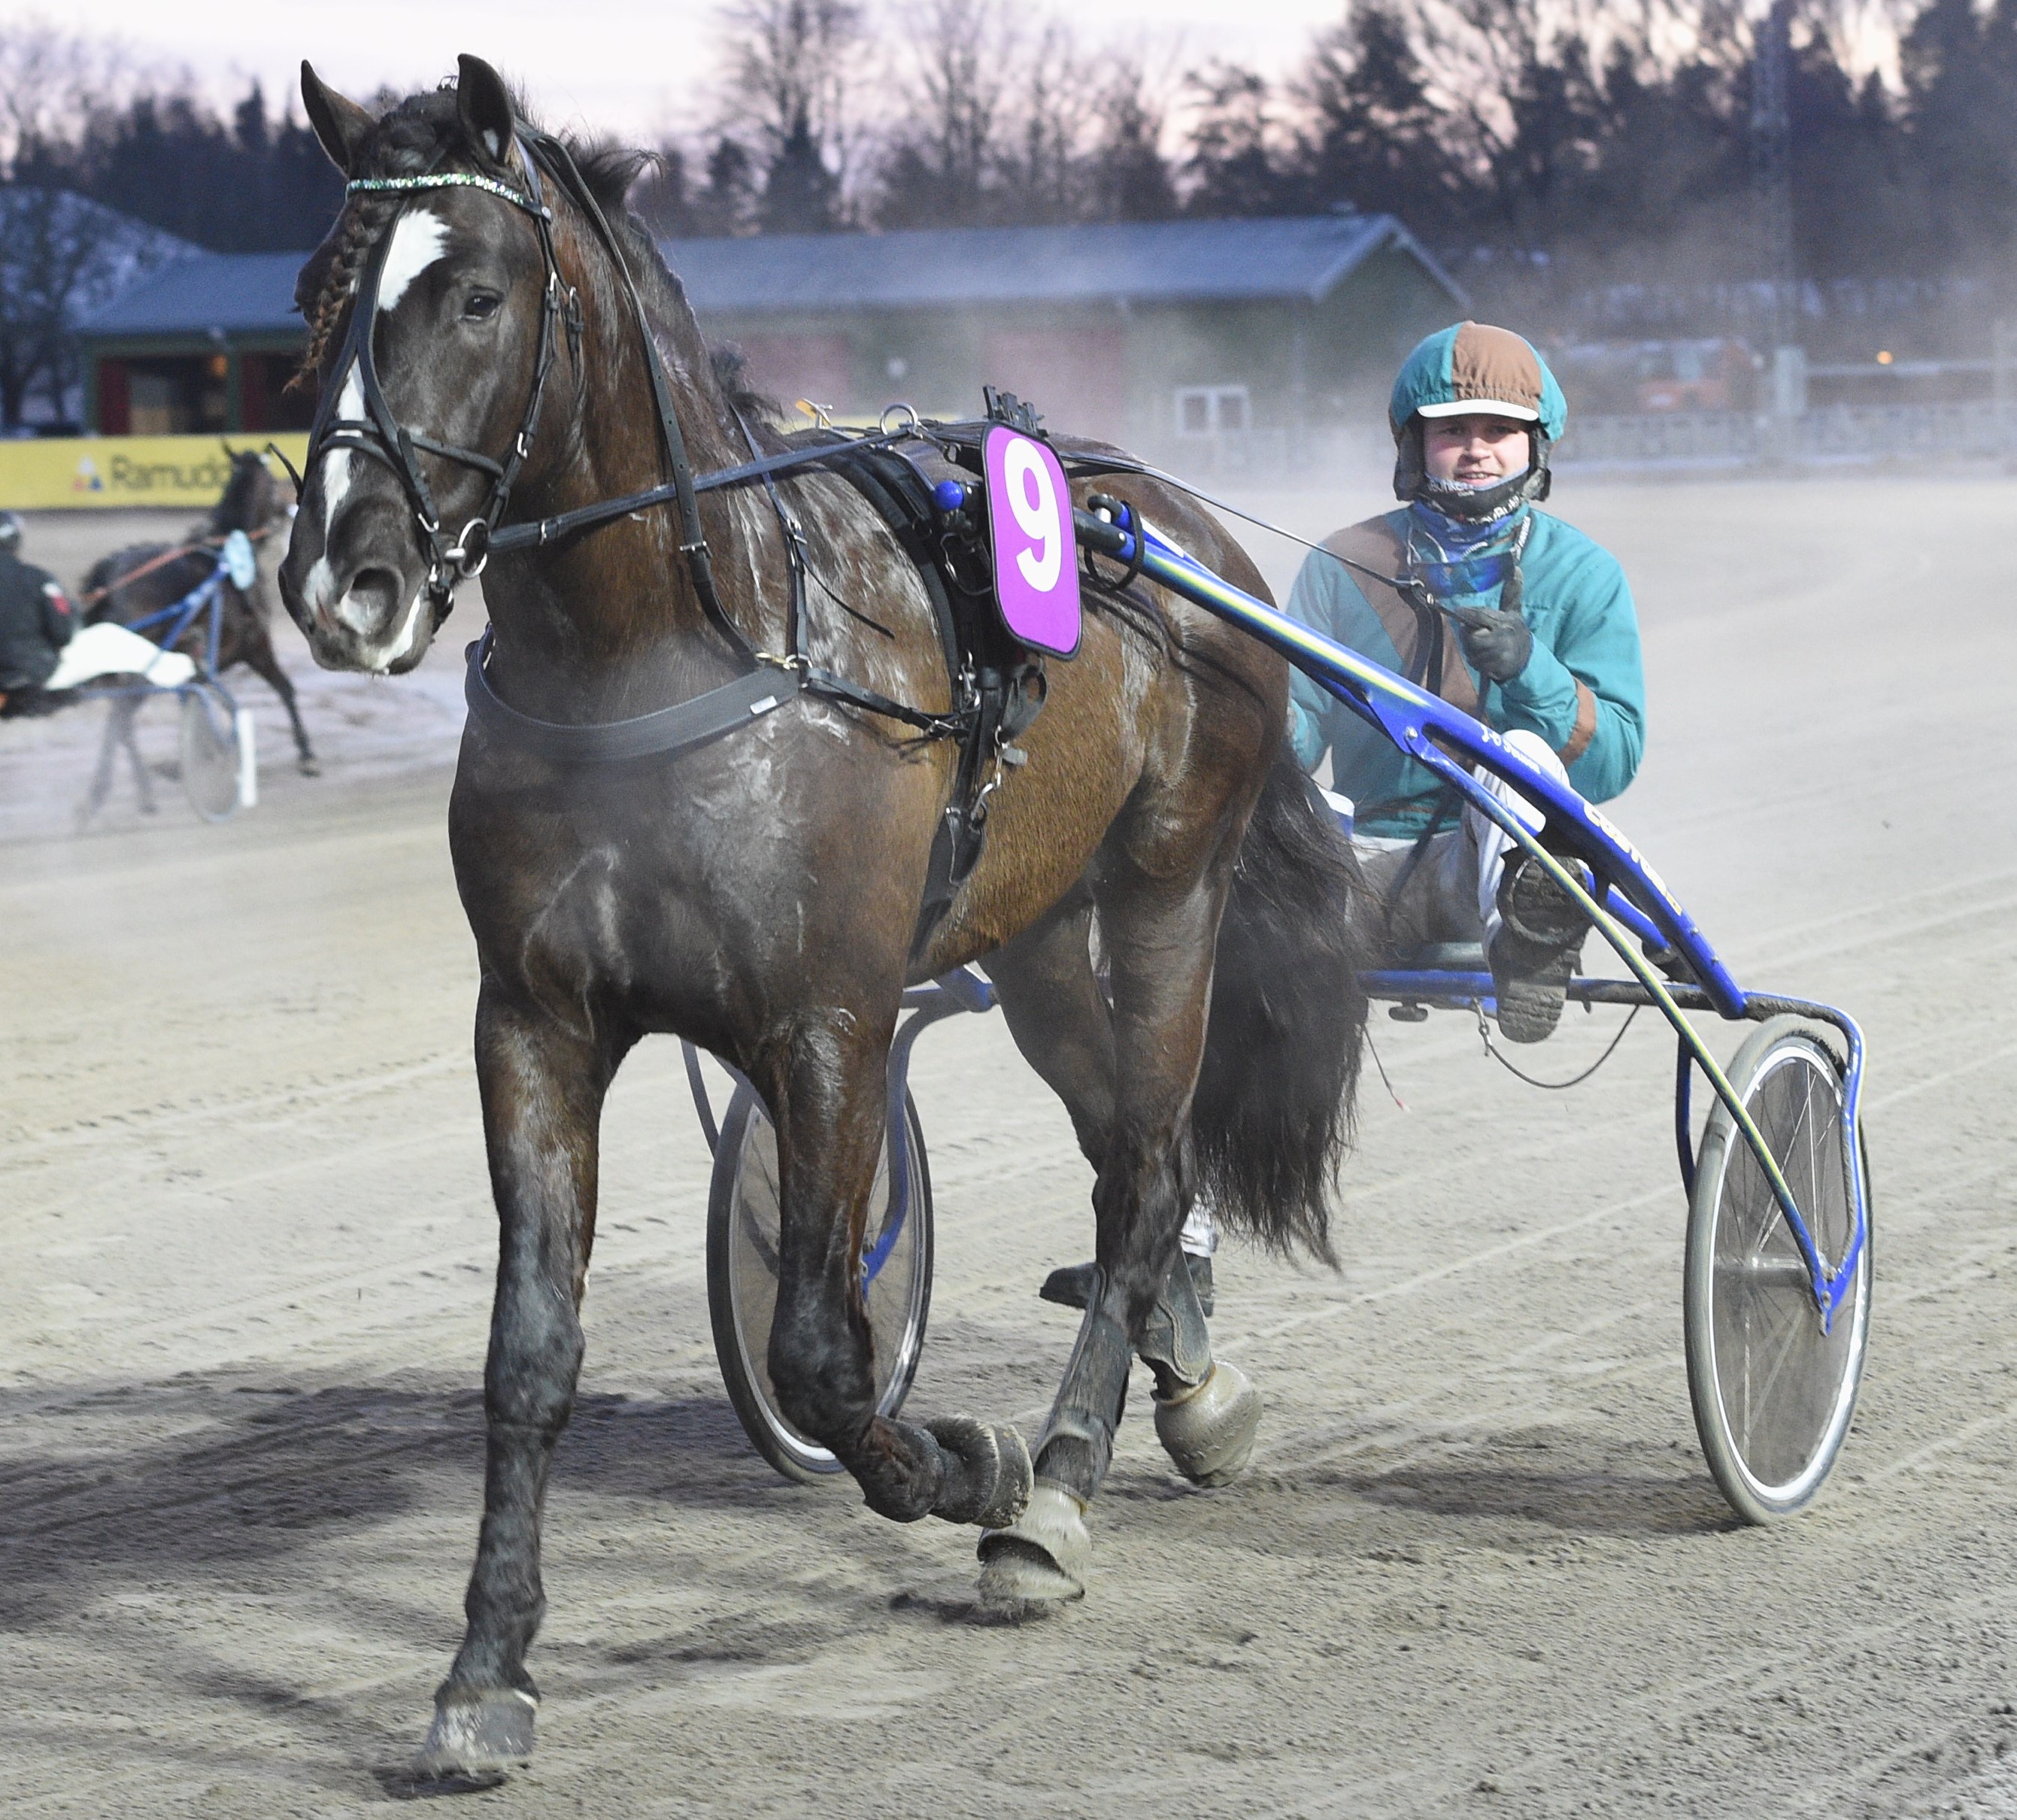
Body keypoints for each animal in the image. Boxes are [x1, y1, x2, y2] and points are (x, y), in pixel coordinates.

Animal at [79, 441, 317, 819]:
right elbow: (285, 689)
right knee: (121, 719)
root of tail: (107, 581)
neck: (227, 560)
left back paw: (135, 793)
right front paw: (306, 754)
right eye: (273, 481)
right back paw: (109, 793)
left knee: (122, 723)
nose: (291, 507)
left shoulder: (201, 664)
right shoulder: (255, 645)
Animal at [280, 60, 1371, 1791]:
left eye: (476, 293)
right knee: (1133, 1163)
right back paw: (1188, 1390)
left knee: (1148, 1171)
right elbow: (530, 1355)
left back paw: (1061, 1485)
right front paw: (484, 1675)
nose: (347, 578)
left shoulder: (828, 1022)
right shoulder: (532, 1017)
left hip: (1166, 891)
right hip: (1034, 936)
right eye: (319, 299)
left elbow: (815, 1342)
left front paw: (975, 1463)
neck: (658, 652)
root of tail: (1175, 528)